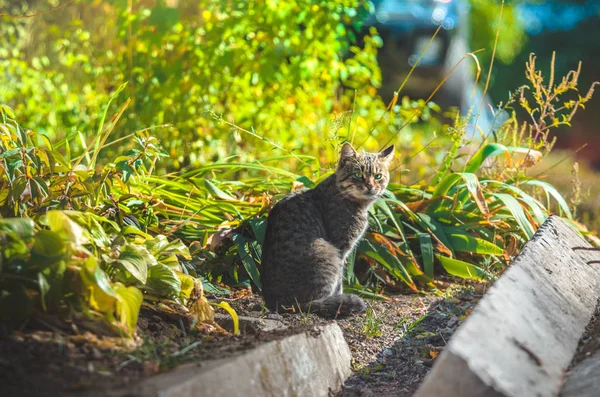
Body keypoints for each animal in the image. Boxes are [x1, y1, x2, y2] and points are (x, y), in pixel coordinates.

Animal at [262, 141, 394, 318]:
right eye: (358, 175)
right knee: (312, 304)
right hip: (327, 253)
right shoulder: (340, 247)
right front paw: (340, 298)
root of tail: (277, 304)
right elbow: (339, 283)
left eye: (378, 176)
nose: (370, 186)